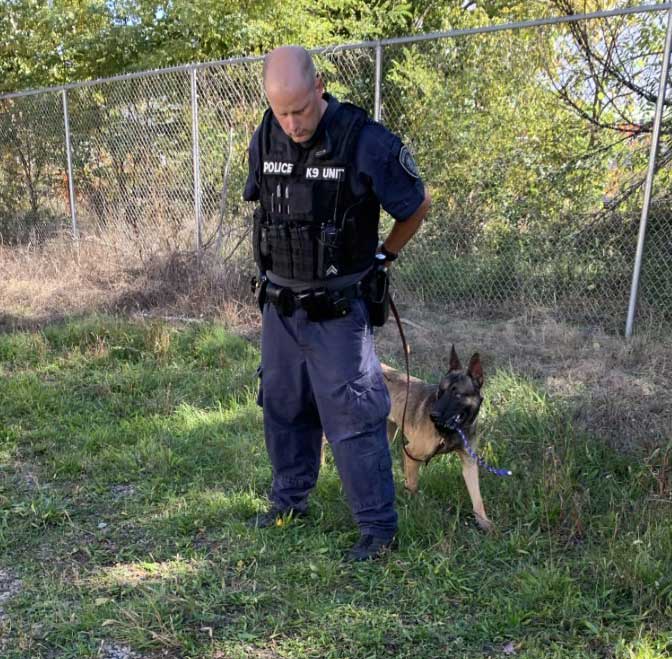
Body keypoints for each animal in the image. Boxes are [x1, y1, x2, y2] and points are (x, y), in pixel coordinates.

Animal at [384, 348, 494, 532]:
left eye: (457, 394)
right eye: (440, 392)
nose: (432, 415)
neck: (452, 431)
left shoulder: (469, 463)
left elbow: (477, 498)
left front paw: (483, 521)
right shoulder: (411, 453)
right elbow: (412, 486)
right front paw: (413, 508)